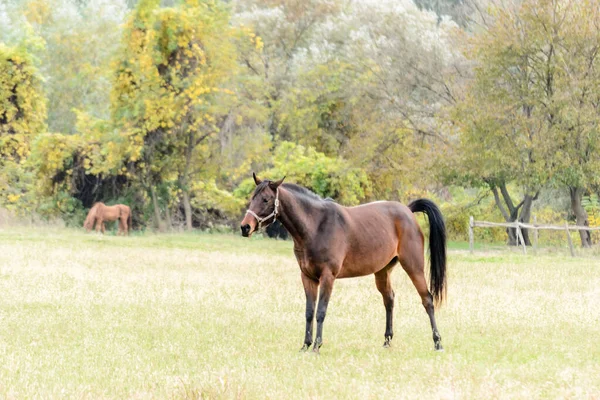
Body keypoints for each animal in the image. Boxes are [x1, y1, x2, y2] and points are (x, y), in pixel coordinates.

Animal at [240, 174, 446, 354]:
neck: (316, 226)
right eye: (252, 198)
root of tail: (408, 210)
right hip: (382, 272)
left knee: (427, 300)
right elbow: (309, 312)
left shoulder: (327, 277)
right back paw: (387, 342)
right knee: (389, 299)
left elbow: (320, 312)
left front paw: (316, 346)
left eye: (266, 199)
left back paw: (437, 343)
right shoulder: (307, 277)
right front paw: (305, 345)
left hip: (413, 266)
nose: (245, 227)